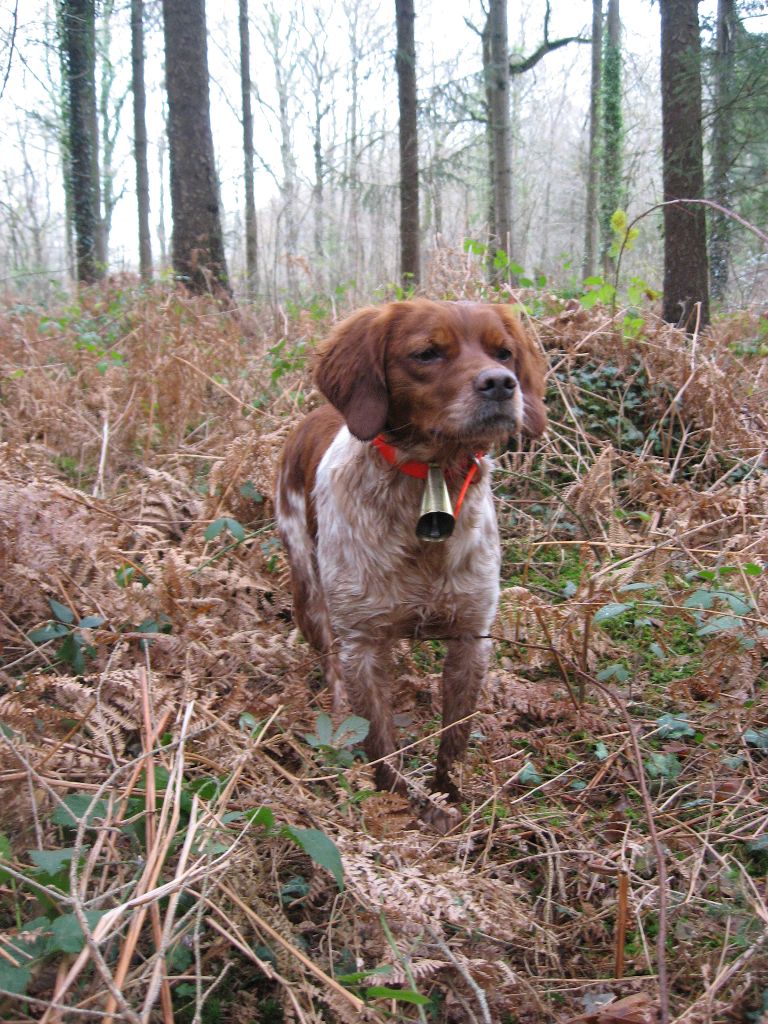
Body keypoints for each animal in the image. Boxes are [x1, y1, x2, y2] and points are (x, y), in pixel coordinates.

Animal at [276, 299, 548, 802]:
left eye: (503, 352)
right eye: (427, 353)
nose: (502, 384)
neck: (431, 480)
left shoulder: (471, 636)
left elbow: (454, 738)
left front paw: (450, 797)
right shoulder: (360, 643)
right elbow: (380, 745)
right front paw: (403, 803)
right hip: (309, 593)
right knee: (329, 665)